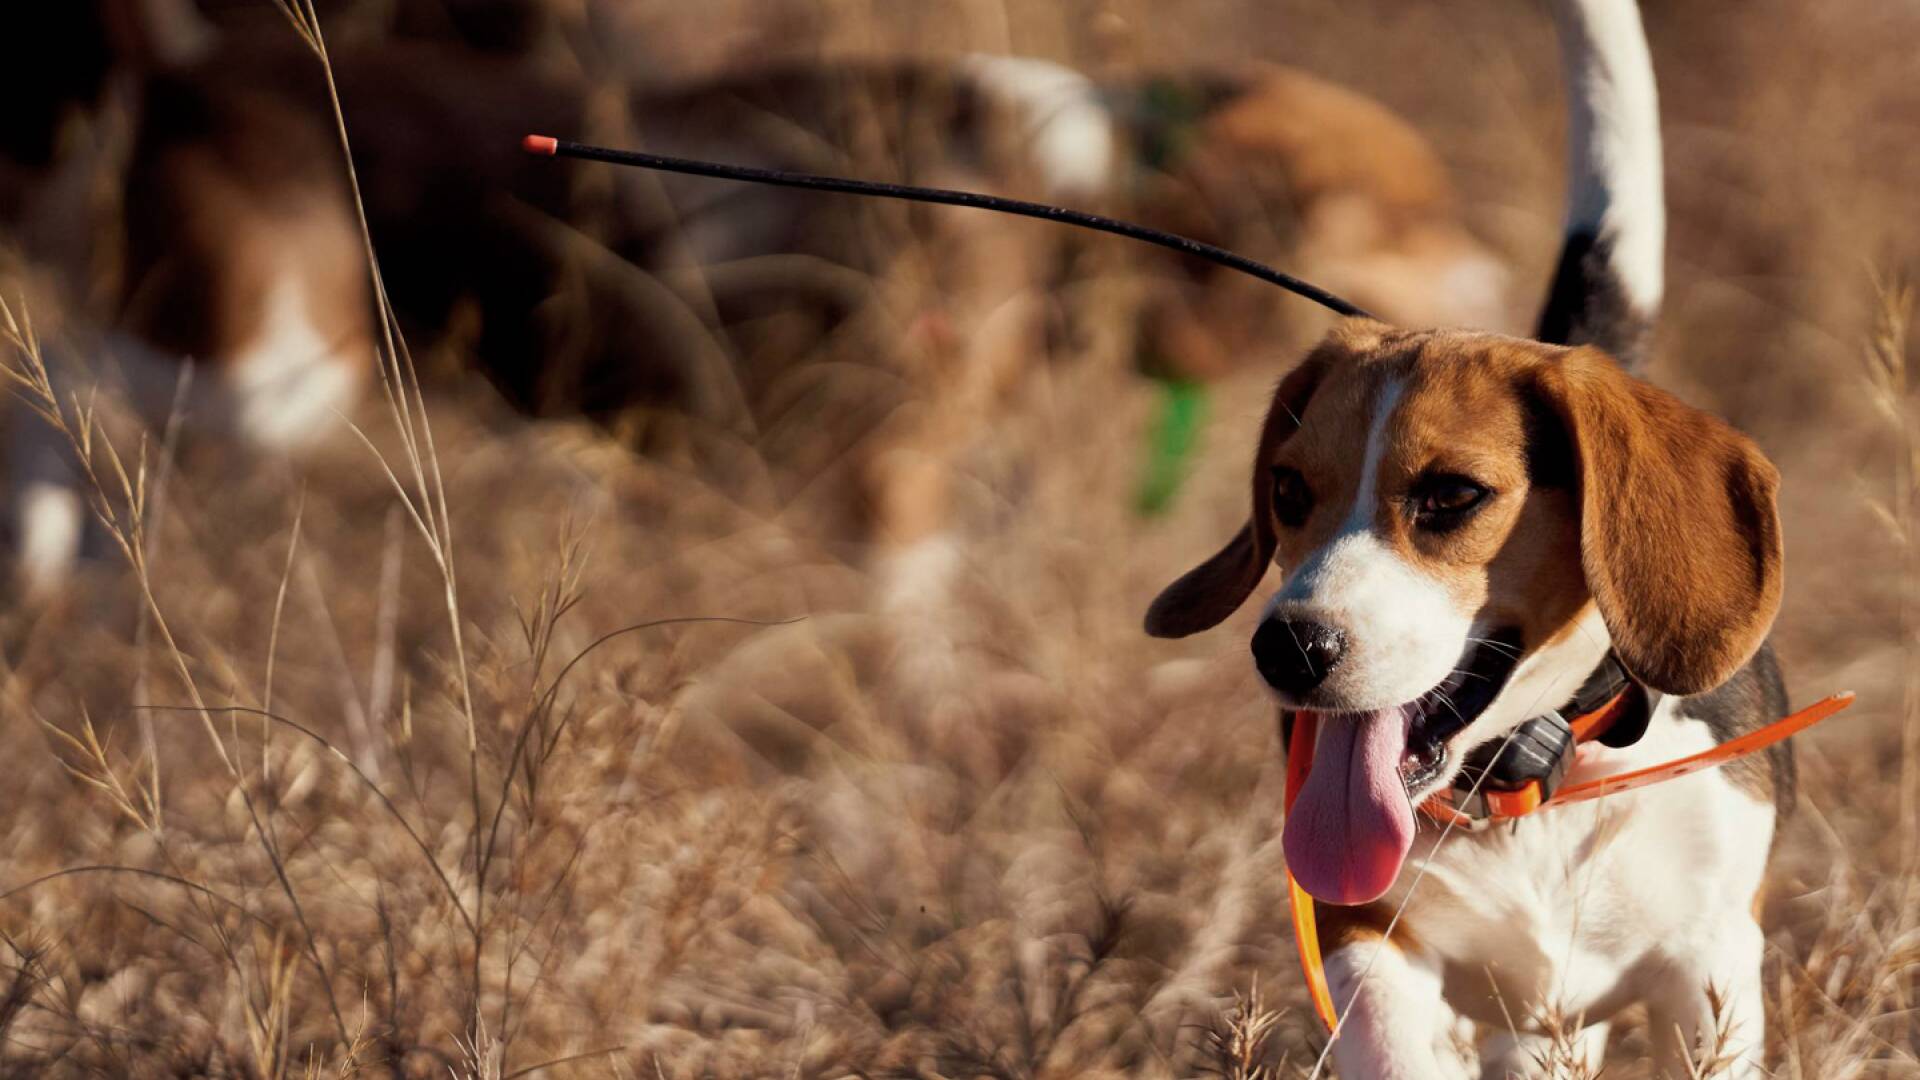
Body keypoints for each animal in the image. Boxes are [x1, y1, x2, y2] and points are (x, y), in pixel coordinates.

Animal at [1136, 4, 1781, 1068]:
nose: (1290, 648)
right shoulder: (1365, 934)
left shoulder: (1711, 969)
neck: (1528, 779)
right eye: (1287, 489)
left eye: (1451, 496)